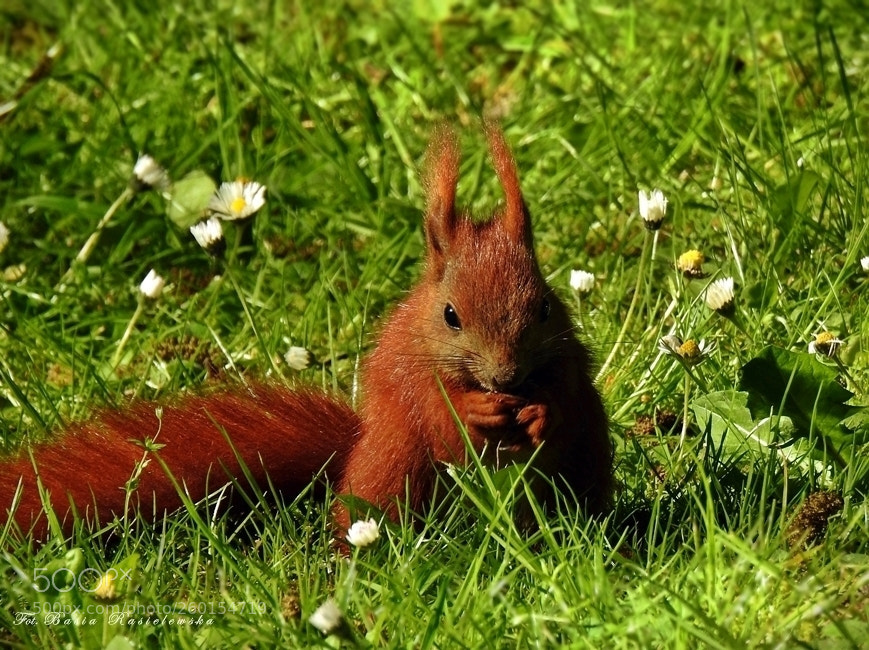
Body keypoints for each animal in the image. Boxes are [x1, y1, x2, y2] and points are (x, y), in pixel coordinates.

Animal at [0, 125, 612, 543]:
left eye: (544, 308)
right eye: (450, 316)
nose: (506, 376)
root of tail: (351, 454)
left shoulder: (568, 363)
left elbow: (566, 400)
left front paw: (540, 412)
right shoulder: (409, 373)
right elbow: (437, 415)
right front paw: (473, 411)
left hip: (589, 455)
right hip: (392, 463)